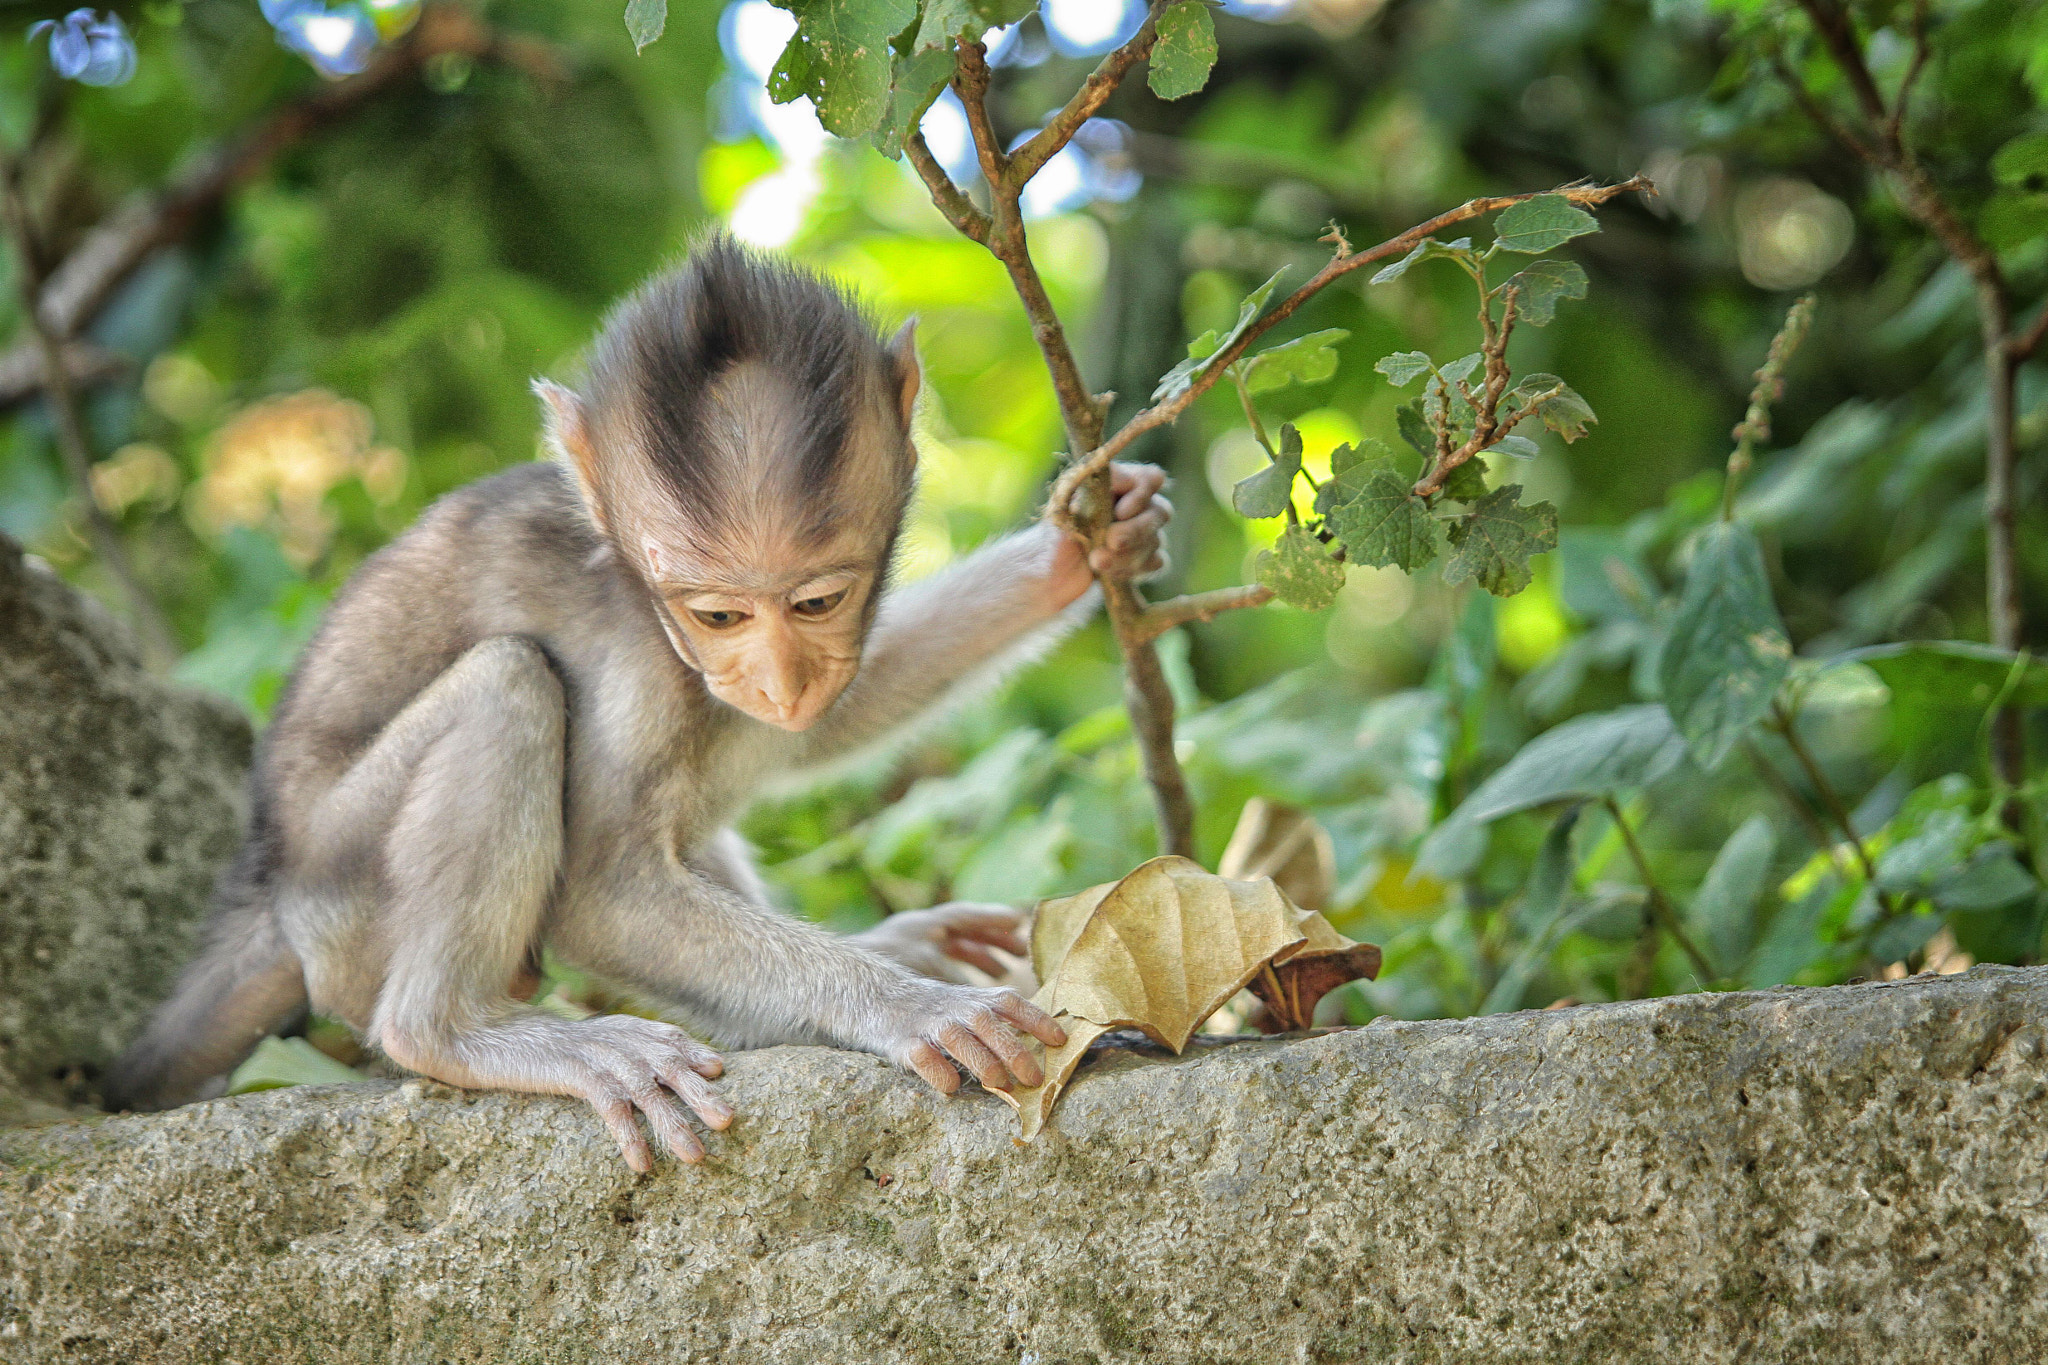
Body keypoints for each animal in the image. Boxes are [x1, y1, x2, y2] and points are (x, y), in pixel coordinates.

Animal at [112, 237, 1171, 1178]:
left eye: (816, 602)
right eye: (717, 613)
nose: (777, 679)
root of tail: (270, 878)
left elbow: (819, 723)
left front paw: (1075, 553)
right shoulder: (640, 656)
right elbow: (603, 888)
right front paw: (906, 1006)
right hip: (344, 888)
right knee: (513, 683)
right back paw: (456, 1032)